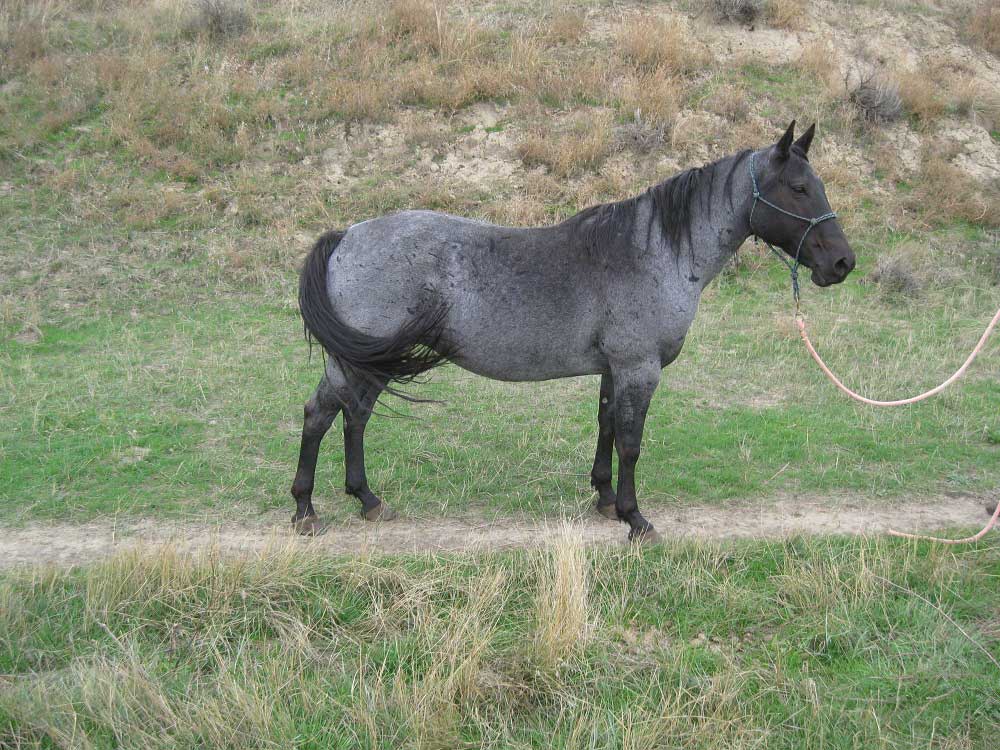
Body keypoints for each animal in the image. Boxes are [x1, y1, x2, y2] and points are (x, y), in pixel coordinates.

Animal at [292, 122, 856, 540]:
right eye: (799, 188)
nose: (843, 262)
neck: (653, 253)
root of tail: (347, 235)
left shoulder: (614, 370)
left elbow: (606, 427)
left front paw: (605, 499)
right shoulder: (638, 369)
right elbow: (631, 442)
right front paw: (635, 519)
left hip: (374, 361)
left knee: (354, 417)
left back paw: (368, 500)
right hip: (356, 360)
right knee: (322, 414)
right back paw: (305, 511)